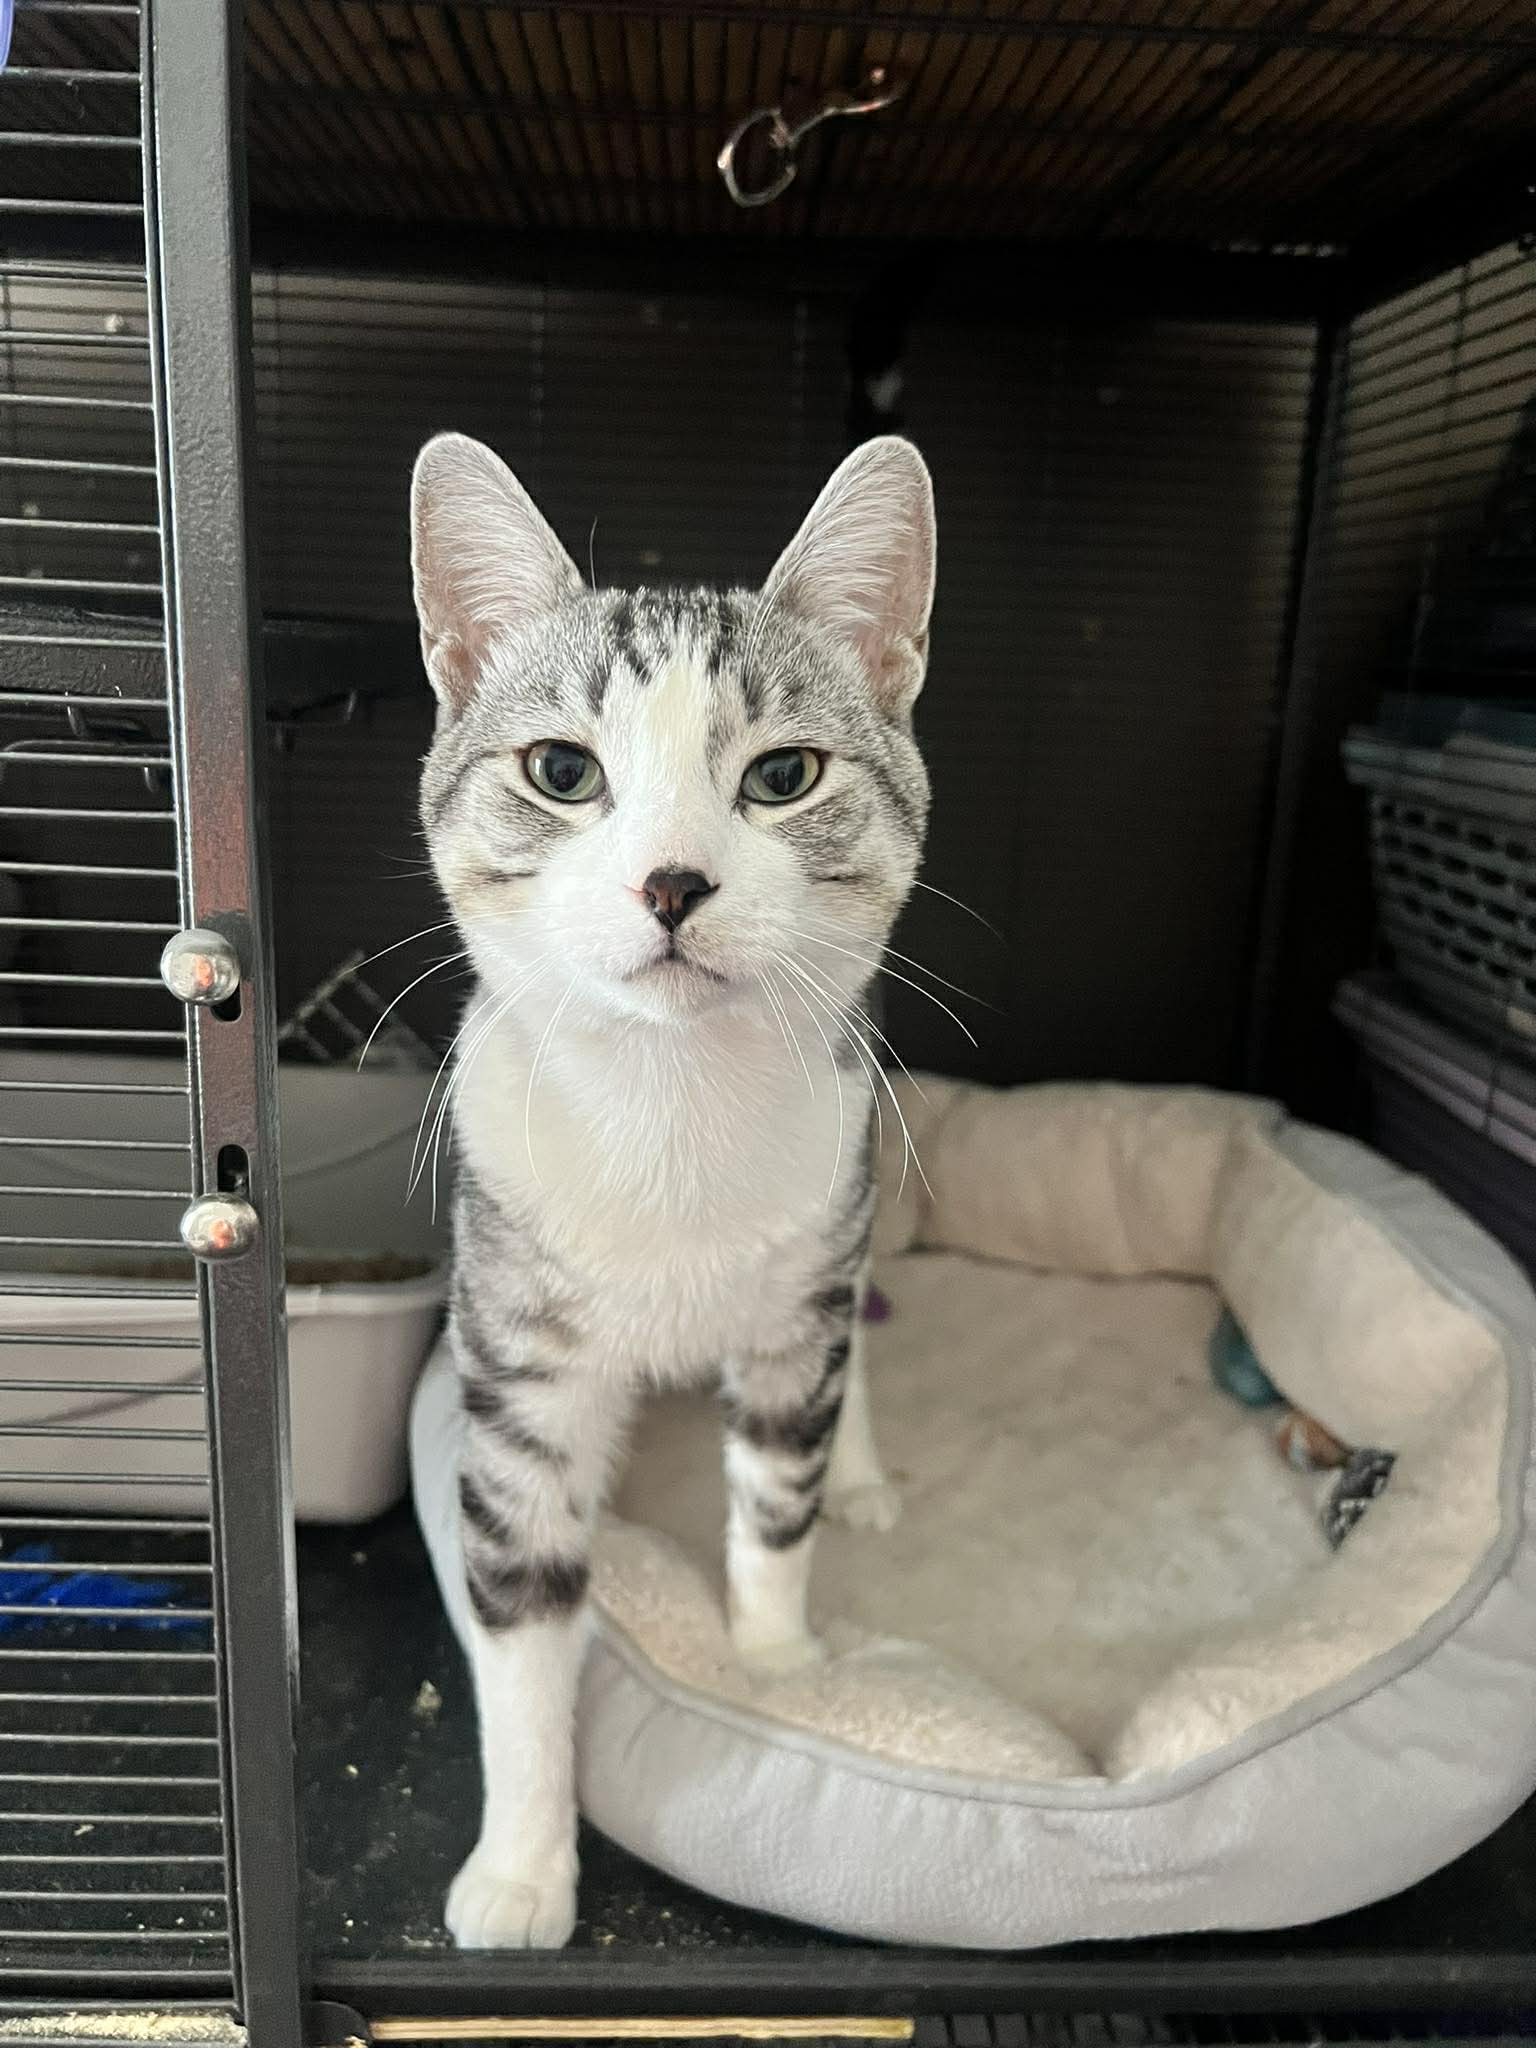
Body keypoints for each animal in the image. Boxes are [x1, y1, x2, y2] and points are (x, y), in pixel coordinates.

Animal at [410, 430, 936, 1948]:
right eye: (559, 767)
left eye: (786, 773)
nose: (673, 881)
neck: (672, 1108)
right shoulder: (517, 1366)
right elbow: (522, 1619)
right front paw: (523, 1867)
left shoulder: (808, 1270)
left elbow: (774, 1498)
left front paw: (773, 1666)